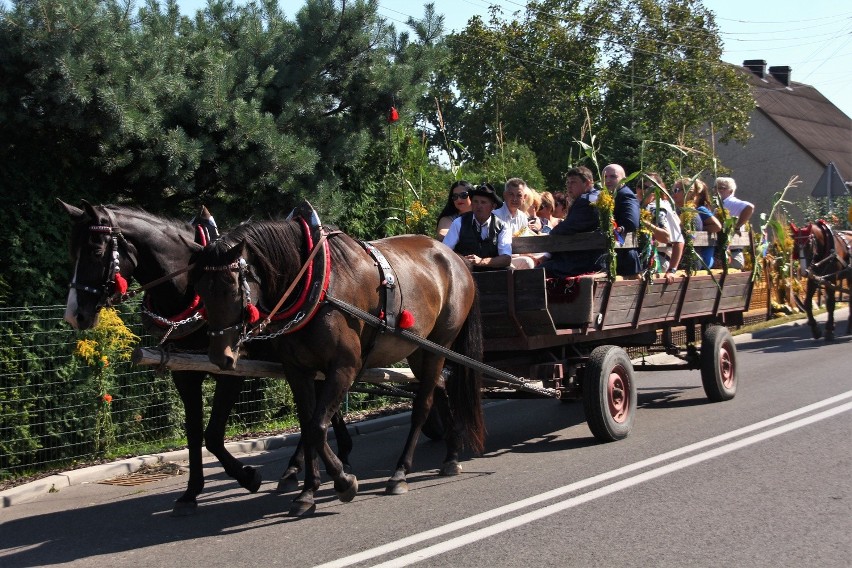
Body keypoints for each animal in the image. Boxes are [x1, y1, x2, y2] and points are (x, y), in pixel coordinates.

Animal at [60, 201, 352, 516]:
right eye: (72, 253)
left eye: (95, 252)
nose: (74, 315)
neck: (187, 292)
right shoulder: (184, 373)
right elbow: (194, 433)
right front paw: (191, 493)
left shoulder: (231, 371)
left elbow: (212, 435)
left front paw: (248, 476)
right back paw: (320, 460)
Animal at [191, 206, 486, 516]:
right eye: (200, 288)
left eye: (232, 288)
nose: (219, 356)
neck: (316, 284)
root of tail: (455, 259)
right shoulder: (298, 371)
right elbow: (308, 426)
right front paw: (308, 492)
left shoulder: (344, 368)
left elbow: (318, 428)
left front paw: (344, 482)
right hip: (419, 349)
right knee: (439, 387)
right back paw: (451, 456)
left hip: (440, 345)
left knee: (423, 405)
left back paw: (400, 473)